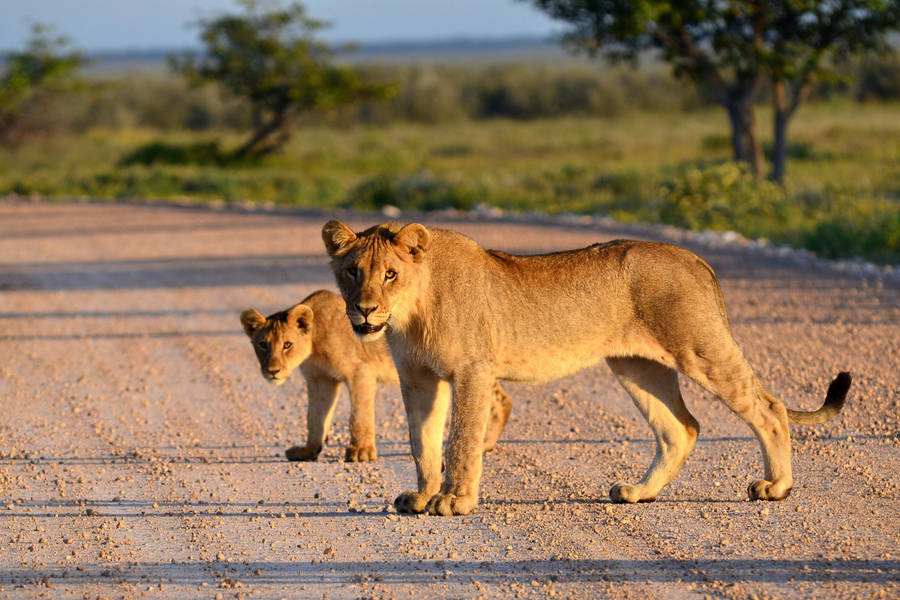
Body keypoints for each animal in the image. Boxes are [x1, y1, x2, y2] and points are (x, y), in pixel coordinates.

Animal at [240, 289, 512, 463]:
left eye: (287, 345)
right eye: (263, 345)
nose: (272, 371)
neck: (314, 343)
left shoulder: (360, 372)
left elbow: (359, 416)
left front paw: (361, 452)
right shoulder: (320, 381)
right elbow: (315, 418)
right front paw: (308, 451)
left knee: (498, 400)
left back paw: (483, 444)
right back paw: (487, 443)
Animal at [322, 220, 851, 516]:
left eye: (390, 274)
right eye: (352, 272)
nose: (365, 311)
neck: (413, 311)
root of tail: (695, 257)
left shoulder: (472, 371)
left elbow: (462, 440)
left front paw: (454, 501)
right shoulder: (418, 379)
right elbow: (422, 443)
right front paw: (421, 497)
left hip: (699, 347)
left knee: (769, 408)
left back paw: (776, 487)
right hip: (638, 367)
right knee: (681, 427)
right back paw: (638, 492)